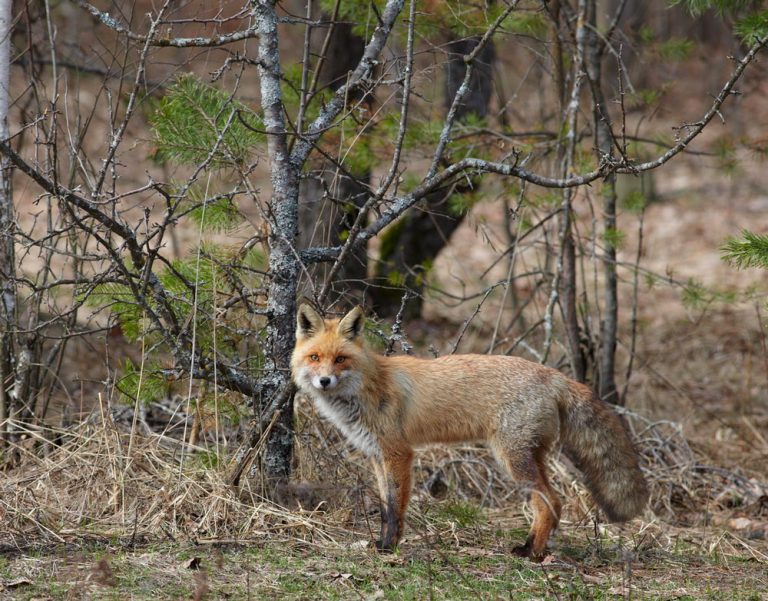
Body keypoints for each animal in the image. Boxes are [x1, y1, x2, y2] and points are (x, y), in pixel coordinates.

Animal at [290, 304, 648, 556]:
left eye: (340, 359)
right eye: (315, 357)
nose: (324, 381)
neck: (367, 386)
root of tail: (554, 375)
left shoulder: (398, 454)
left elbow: (395, 508)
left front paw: (390, 548)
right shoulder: (377, 456)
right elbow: (384, 508)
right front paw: (380, 543)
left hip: (511, 458)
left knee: (548, 502)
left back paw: (531, 554)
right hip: (532, 456)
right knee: (554, 503)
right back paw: (530, 546)